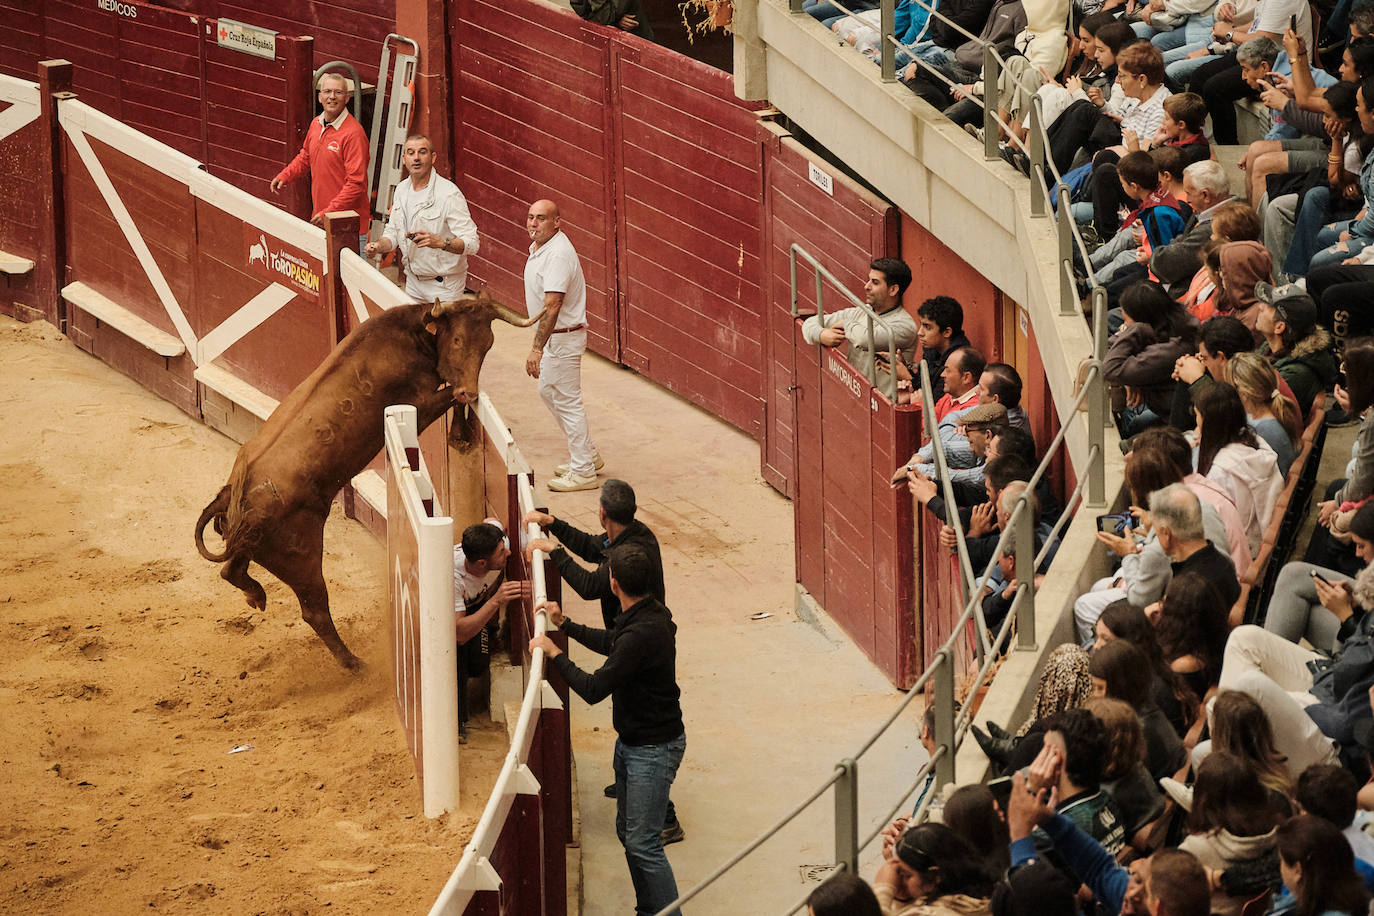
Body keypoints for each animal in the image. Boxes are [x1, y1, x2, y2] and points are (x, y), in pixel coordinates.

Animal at [195, 291, 541, 670]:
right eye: (458, 340)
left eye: (488, 343)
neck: (414, 335)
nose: (471, 392)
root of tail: (234, 493)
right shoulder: (421, 403)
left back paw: (255, 595)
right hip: (302, 557)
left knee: (232, 571)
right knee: (314, 609)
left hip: (251, 542)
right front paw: (461, 429)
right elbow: (447, 395)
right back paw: (353, 664)